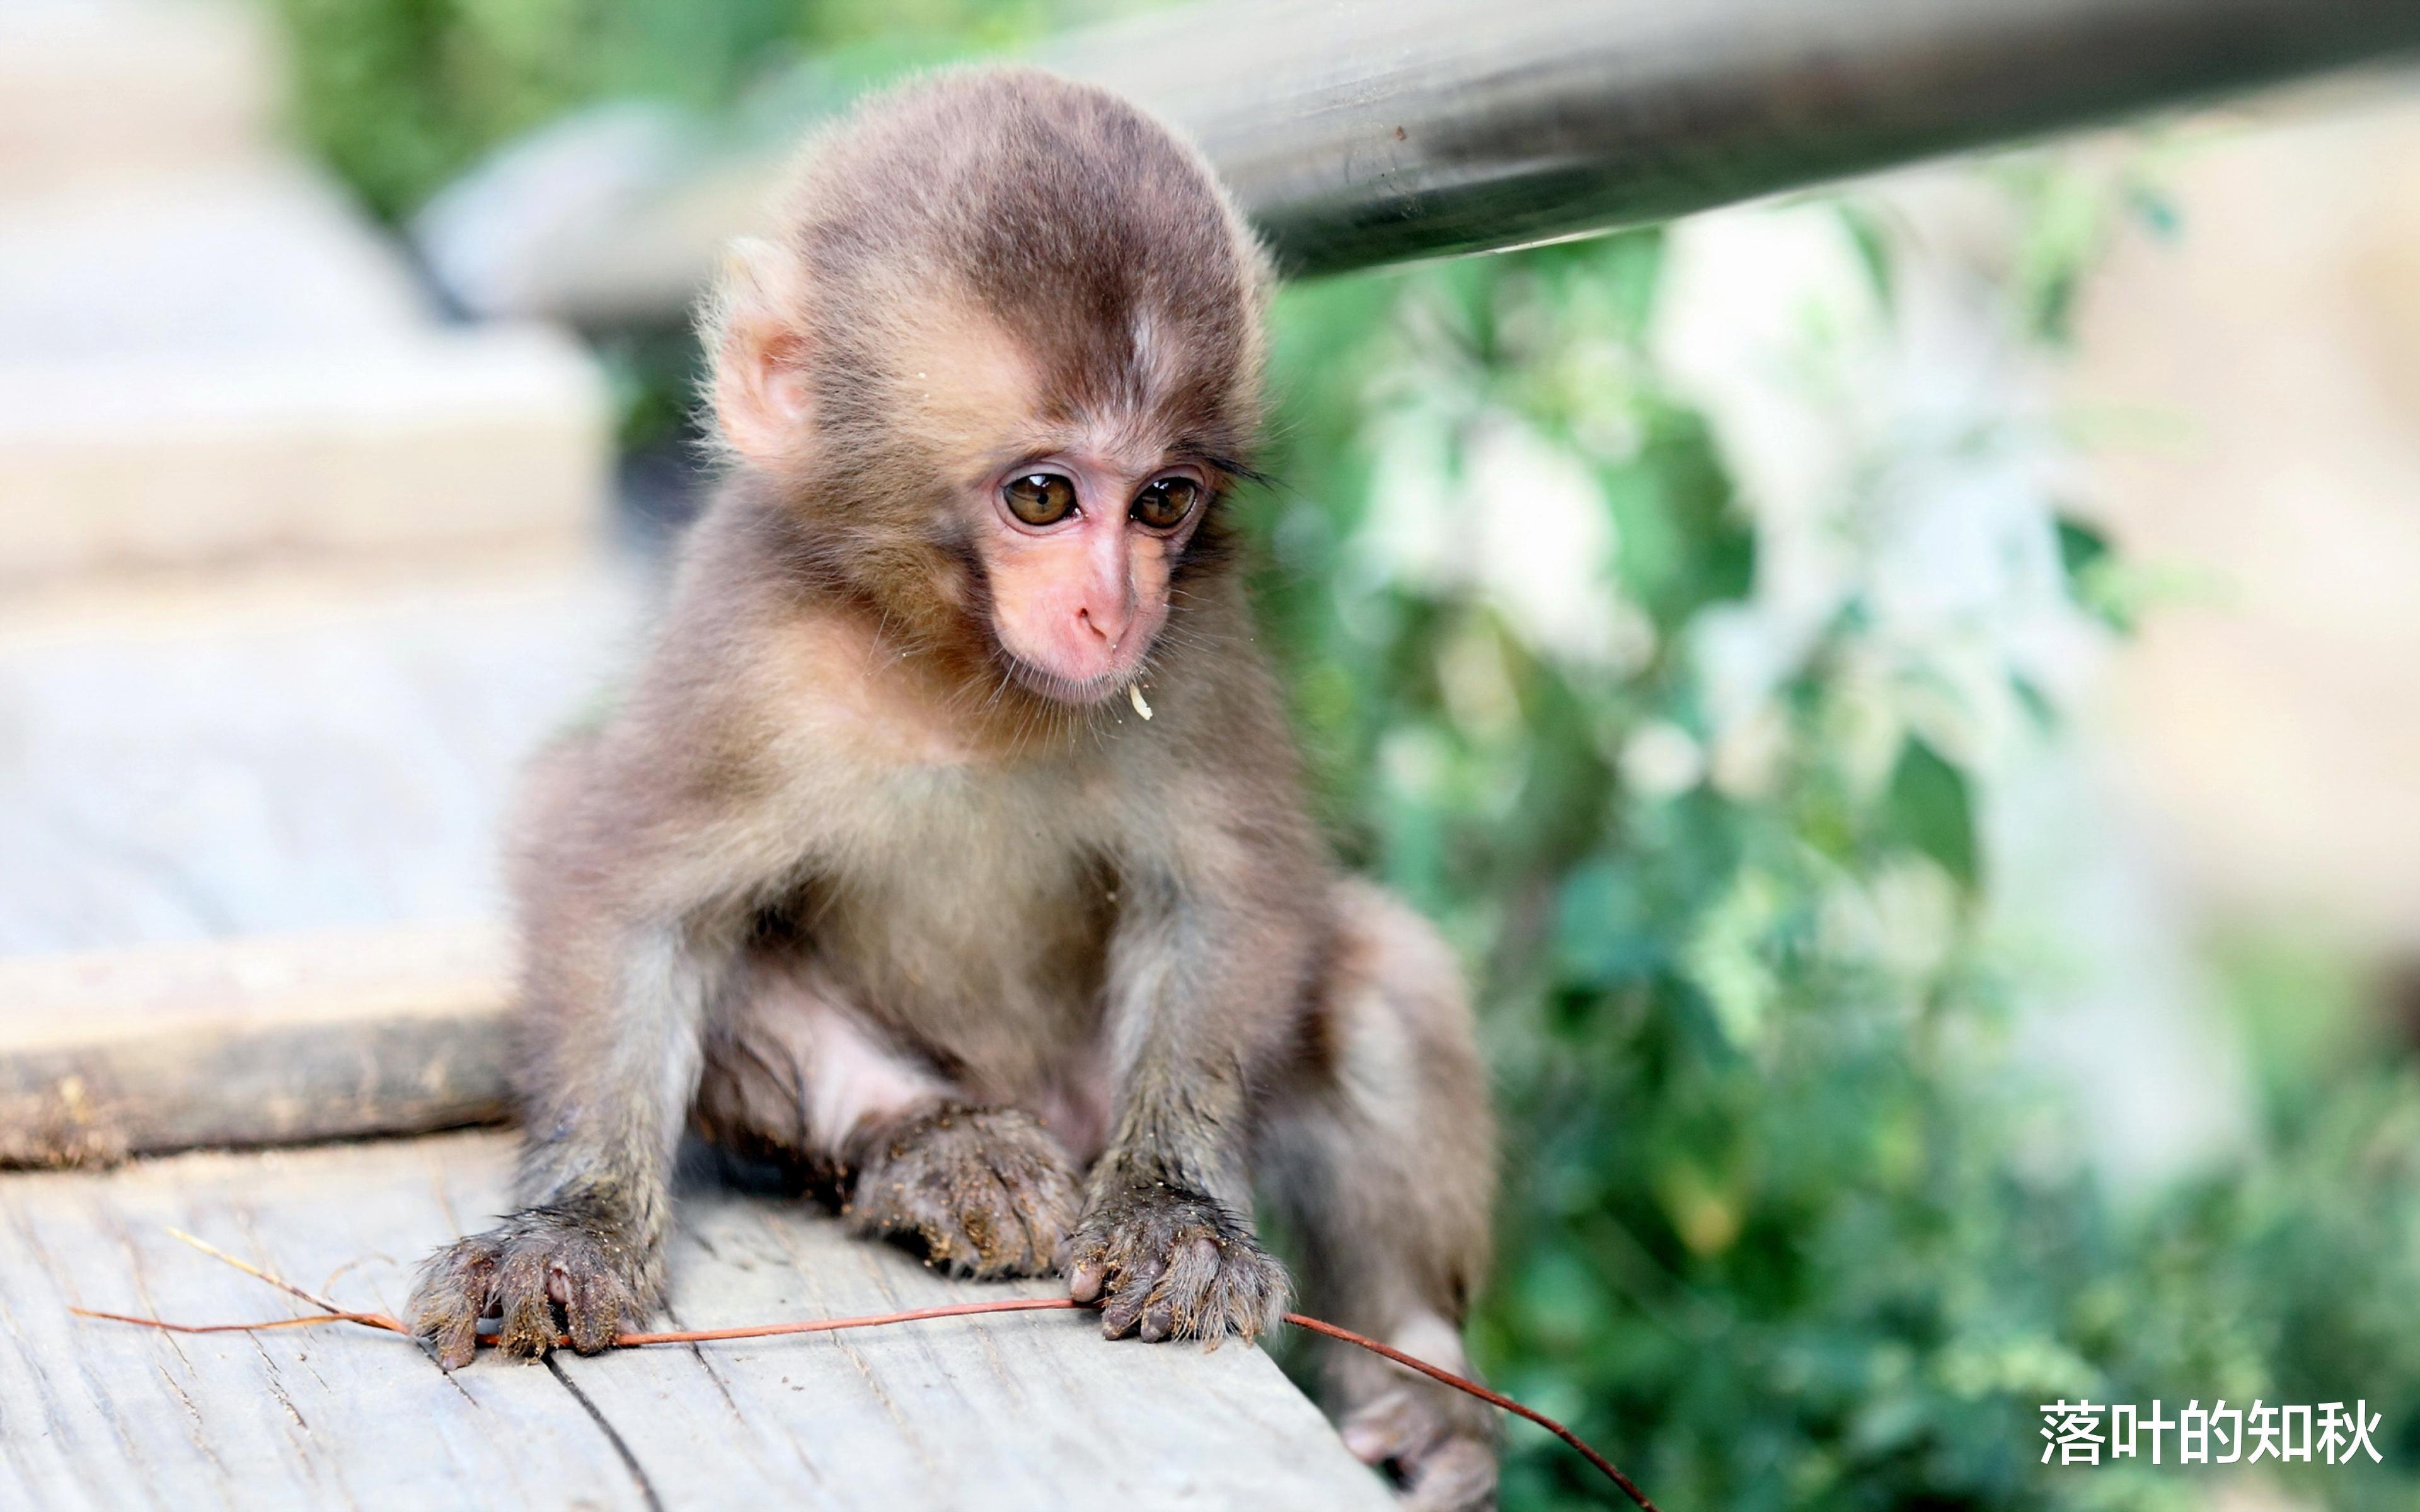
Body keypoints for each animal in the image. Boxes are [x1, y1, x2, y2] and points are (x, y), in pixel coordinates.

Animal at [421, 67, 1490, 1509]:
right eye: (1043, 497)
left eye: (1164, 502)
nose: (1112, 610)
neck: (956, 668)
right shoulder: (741, 641)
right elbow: (614, 886)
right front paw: (570, 1228)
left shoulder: (1195, 648)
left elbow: (1233, 886)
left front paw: (1175, 1210)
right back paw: (936, 1143)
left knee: (1378, 969)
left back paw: (1422, 1381)